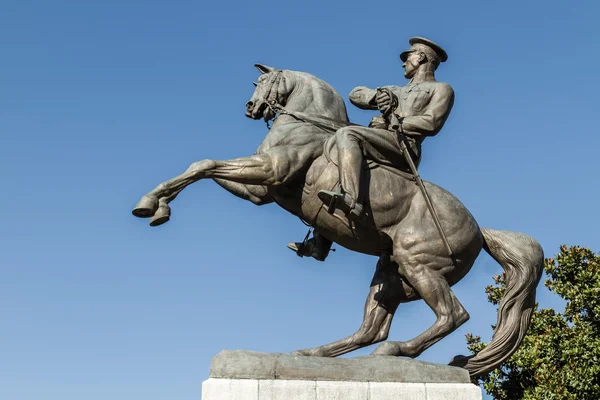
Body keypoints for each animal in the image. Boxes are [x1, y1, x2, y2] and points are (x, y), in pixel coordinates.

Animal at [131, 64, 544, 376]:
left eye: (265, 81)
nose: (251, 106)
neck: (308, 125)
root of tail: (479, 230)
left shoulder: (269, 171)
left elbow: (204, 164)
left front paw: (150, 204)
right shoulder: (261, 190)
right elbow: (204, 167)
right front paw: (158, 204)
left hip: (419, 265)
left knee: (452, 315)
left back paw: (394, 352)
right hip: (391, 276)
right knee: (371, 330)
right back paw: (312, 354)